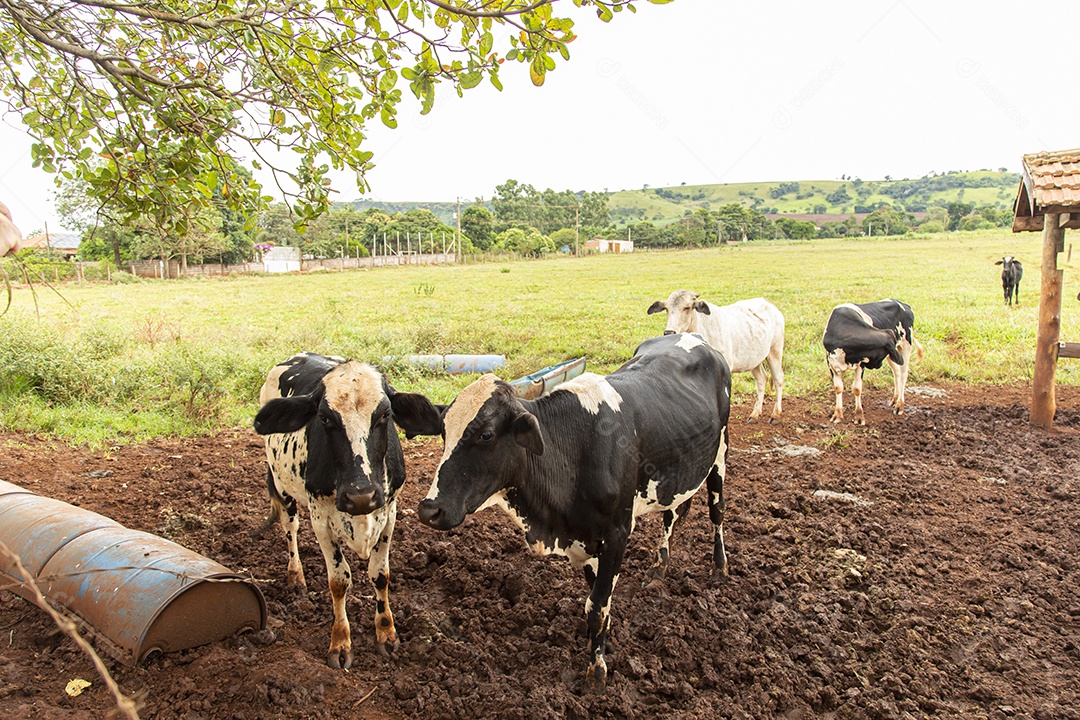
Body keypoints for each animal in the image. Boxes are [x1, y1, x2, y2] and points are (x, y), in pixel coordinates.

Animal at [250, 354, 440, 669]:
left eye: (385, 415)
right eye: (325, 418)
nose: (360, 496)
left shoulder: (389, 512)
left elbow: (380, 575)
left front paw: (386, 632)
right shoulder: (321, 519)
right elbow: (339, 581)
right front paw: (340, 642)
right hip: (282, 485)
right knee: (290, 528)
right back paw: (296, 578)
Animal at [412, 334, 734, 690]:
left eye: (486, 434)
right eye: (444, 432)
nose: (429, 509)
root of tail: (690, 337)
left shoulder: (617, 533)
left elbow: (597, 607)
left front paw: (597, 672)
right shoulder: (584, 539)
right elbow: (596, 601)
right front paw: (603, 646)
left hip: (720, 454)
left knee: (717, 512)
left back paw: (719, 568)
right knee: (672, 515)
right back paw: (658, 568)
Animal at [648, 289, 786, 423]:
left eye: (687, 307)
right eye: (666, 308)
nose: (669, 332)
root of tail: (772, 307)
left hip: (775, 351)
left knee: (778, 379)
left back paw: (776, 414)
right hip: (754, 360)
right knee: (762, 379)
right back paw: (755, 414)